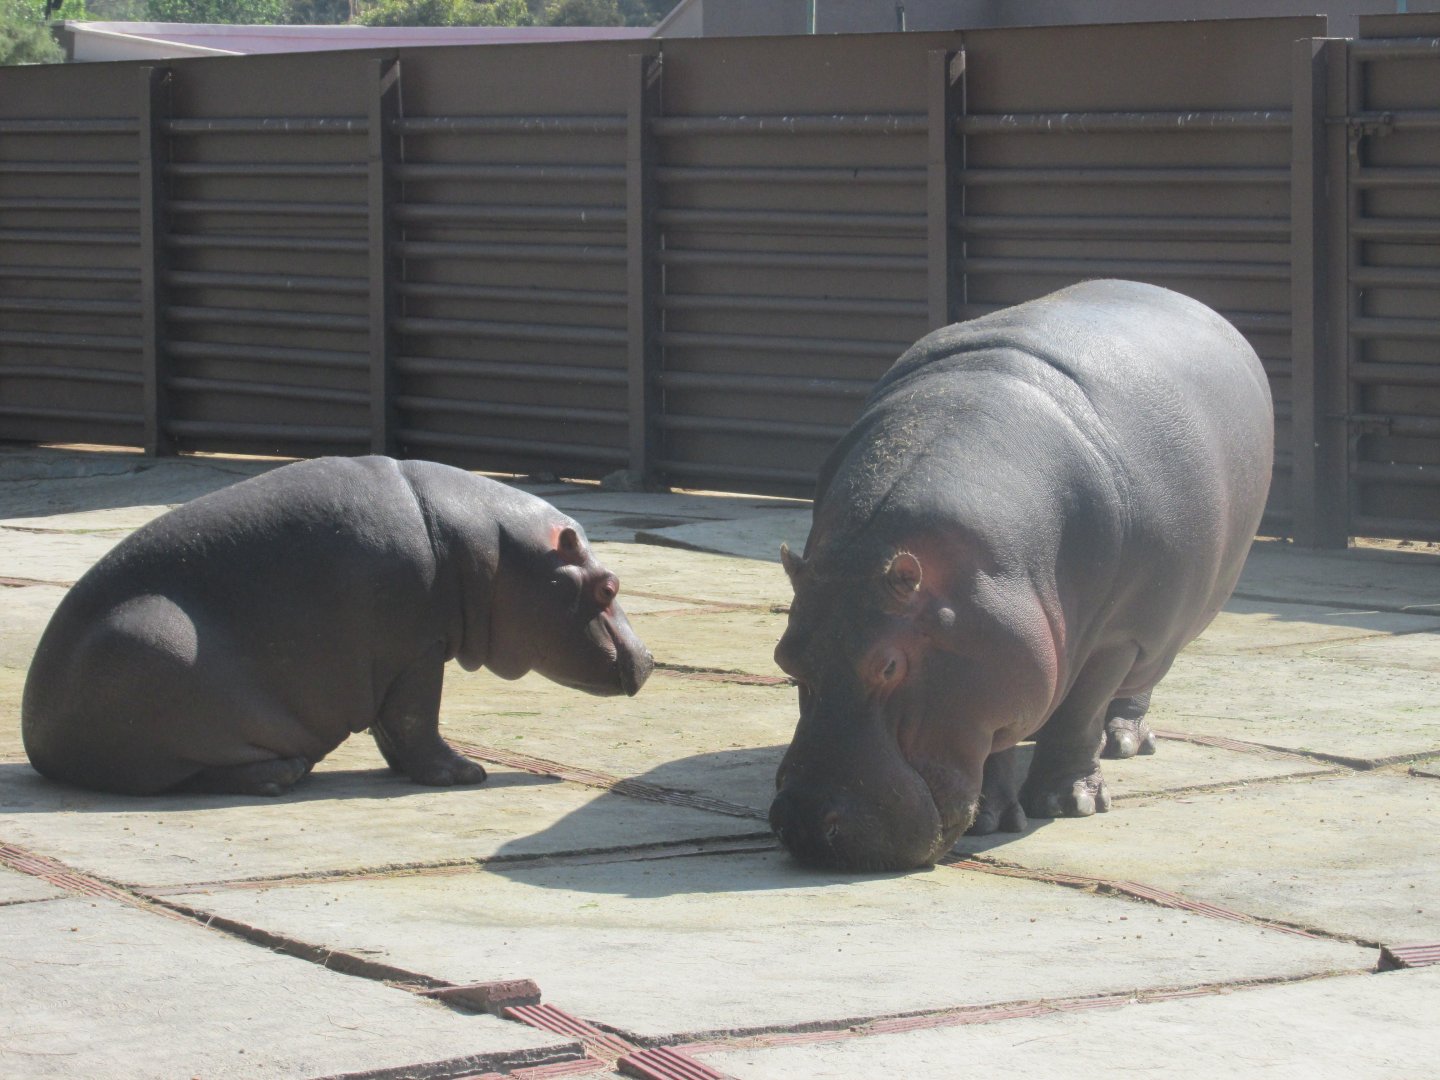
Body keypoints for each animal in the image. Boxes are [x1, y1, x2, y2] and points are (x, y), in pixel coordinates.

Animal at [22, 456, 653, 796]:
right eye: (609, 586)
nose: (649, 660)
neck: (497, 551)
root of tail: (36, 737)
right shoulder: (416, 652)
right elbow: (417, 720)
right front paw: (465, 774)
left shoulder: (394, 659)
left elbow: (394, 729)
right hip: (153, 642)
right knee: (182, 775)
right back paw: (284, 774)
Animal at [770, 280, 1273, 871]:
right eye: (785, 658)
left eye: (889, 665)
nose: (805, 822)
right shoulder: (997, 647)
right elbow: (997, 734)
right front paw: (989, 818)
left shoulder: (1116, 637)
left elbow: (1079, 713)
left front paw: (1069, 803)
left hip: (1160, 623)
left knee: (1137, 685)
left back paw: (1124, 743)